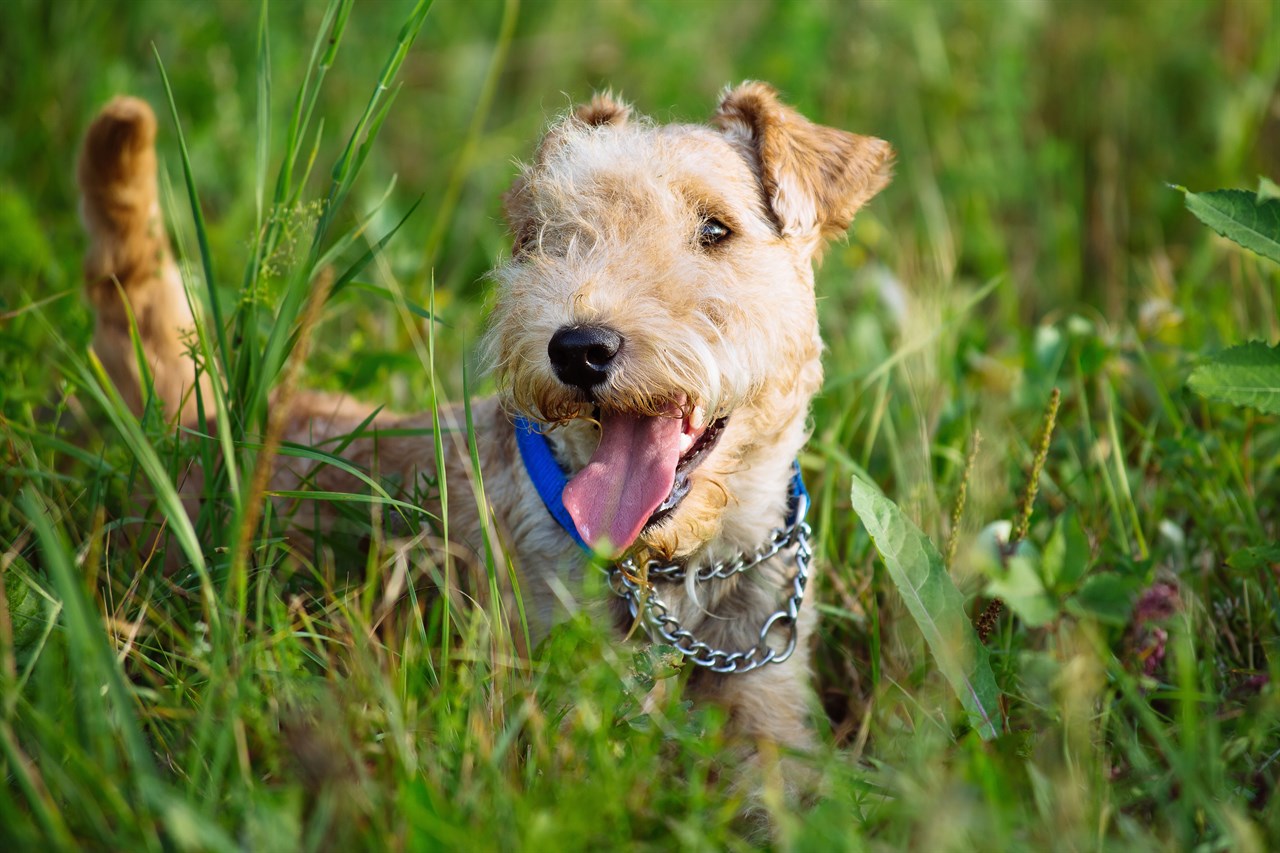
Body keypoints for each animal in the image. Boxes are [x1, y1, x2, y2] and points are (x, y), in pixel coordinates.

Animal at [80, 83, 896, 753]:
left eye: (716, 228)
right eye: (545, 235)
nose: (579, 348)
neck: (672, 573)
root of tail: (192, 417)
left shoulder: (768, 713)